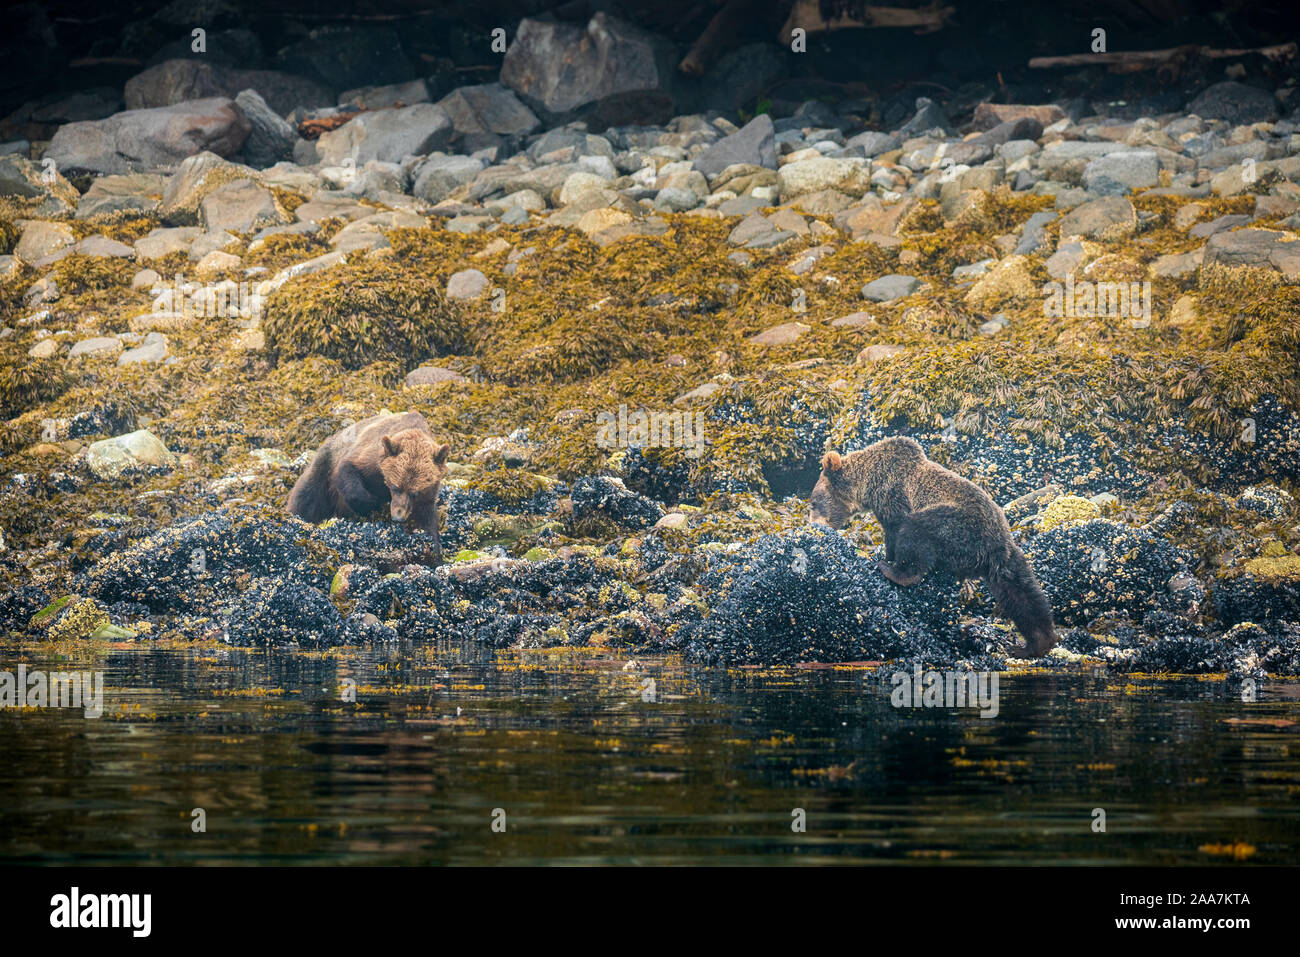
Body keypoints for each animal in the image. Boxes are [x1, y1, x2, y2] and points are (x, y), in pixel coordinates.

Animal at [287, 408, 449, 561]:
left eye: (415, 492)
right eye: (395, 487)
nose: (398, 517)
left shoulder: (428, 492)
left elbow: (426, 517)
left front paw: (433, 549)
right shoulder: (370, 458)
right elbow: (349, 472)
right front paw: (372, 504)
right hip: (323, 470)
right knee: (307, 499)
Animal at [811, 434, 1055, 655]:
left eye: (813, 502)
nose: (813, 524)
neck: (869, 482)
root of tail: (995, 546)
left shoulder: (894, 496)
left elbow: (896, 532)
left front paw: (886, 558)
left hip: (956, 526)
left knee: (916, 532)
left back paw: (893, 572)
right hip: (1007, 561)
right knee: (1023, 596)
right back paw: (1035, 644)